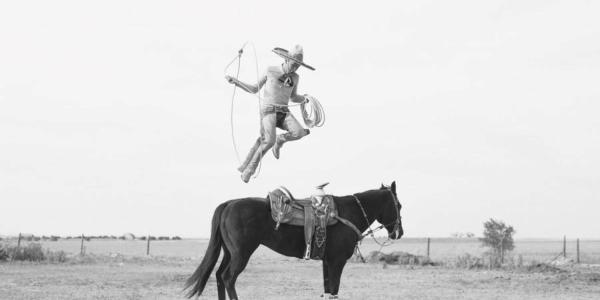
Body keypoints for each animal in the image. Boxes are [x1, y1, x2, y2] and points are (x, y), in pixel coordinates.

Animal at [183, 182, 404, 298]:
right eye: (399, 205)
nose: (399, 233)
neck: (347, 213)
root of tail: (229, 204)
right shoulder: (337, 262)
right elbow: (334, 290)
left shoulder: (327, 262)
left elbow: (327, 291)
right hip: (241, 254)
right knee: (228, 277)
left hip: (229, 252)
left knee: (219, 276)